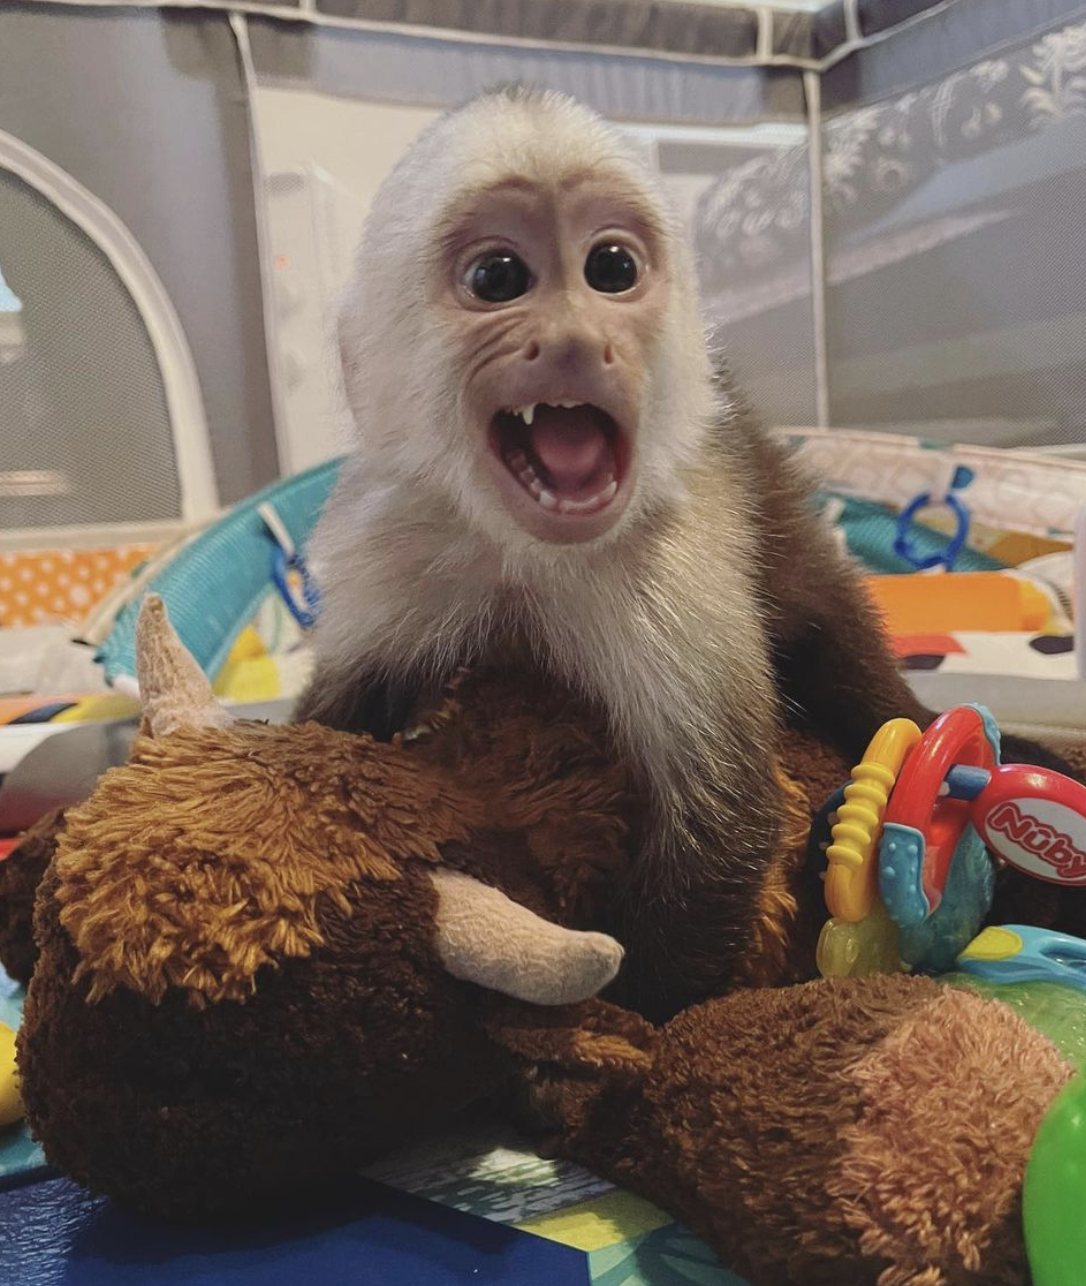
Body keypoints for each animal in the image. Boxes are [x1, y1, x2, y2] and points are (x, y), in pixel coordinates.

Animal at [295, 87, 1074, 1018]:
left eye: (611, 269)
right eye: (497, 279)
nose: (575, 339)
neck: (528, 553)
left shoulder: (670, 558)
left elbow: (729, 816)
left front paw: (628, 1014)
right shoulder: (394, 547)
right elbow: (333, 715)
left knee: (840, 642)